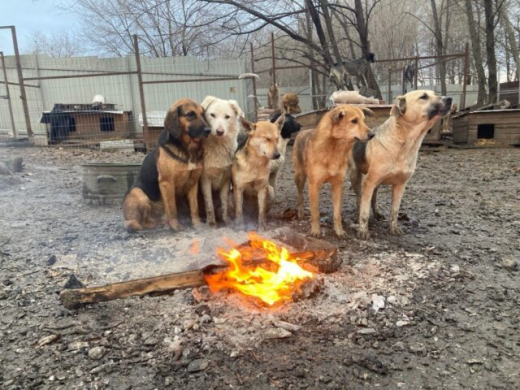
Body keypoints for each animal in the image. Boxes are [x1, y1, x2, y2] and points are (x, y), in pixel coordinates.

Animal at [123, 98, 210, 232]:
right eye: (190, 114)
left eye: (202, 114)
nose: (209, 130)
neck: (187, 148)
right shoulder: (167, 183)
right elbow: (172, 208)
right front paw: (176, 226)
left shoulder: (193, 183)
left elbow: (194, 208)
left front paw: (197, 225)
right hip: (138, 193)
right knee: (141, 223)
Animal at [201, 95, 246, 227]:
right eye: (212, 115)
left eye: (227, 117)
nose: (220, 131)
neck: (218, 147)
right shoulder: (205, 180)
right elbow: (209, 204)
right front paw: (212, 224)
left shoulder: (226, 179)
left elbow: (224, 202)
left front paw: (226, 221)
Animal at [292, 104, 374, 238]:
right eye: (354, 121)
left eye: (363, 120)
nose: (373, 134)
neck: (334, 147)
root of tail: (303, 131)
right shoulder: (314, 185)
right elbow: (315, 212)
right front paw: (315, 231)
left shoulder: (337, 185)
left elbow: (337, 214)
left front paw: (339, 231)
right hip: (299, 177)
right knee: (300, 196)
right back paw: (301, 213)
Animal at [350, 90, 456, 239]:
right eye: (423, 96)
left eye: (435, 94)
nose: (450, 99)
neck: (404, 142)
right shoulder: (369, 182)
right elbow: (364, 211)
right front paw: (363, 231)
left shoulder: (400, 185)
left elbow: (394, 211)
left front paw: (393, 228)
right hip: (356, 176)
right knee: (359, 198)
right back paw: (356, 215)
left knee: (373, 198)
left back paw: (377, 213)